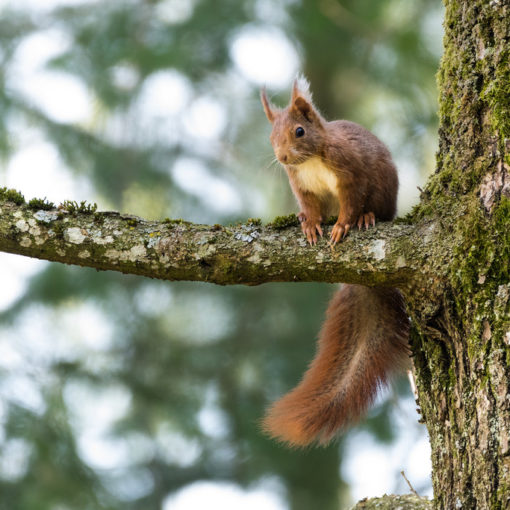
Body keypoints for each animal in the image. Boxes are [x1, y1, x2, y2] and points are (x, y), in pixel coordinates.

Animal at [258, 77, 410, 448]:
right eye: (271, 137)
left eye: (299, 131)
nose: (282, 157)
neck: (310, 161)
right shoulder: (302, 186)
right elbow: (311, 206)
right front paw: (311, 223)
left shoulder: (351, 172)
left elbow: (352, 202)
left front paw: (343, 225)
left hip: (384, 189)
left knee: (373, 208)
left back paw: (368, 219)